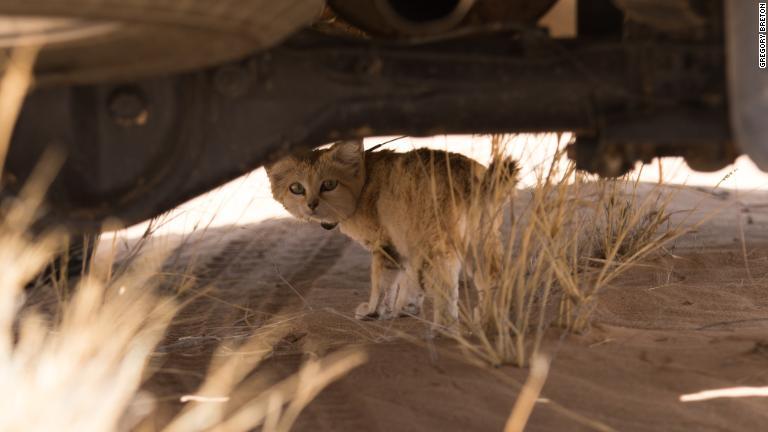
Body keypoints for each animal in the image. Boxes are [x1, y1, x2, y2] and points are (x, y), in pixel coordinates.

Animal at [266, 141, 516, 328]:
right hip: (481, 241)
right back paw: (491, 322)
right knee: (495, 280)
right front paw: (406, 308)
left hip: (438, 243)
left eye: (329, 184)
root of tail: (468, 173)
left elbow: (381, 284)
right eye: (296, 188)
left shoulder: (386, 245)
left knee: (446, 285)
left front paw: (373, 312)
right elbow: (409, 281)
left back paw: (444, 328)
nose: (311, 204)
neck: (364, 182)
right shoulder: (406, 240)